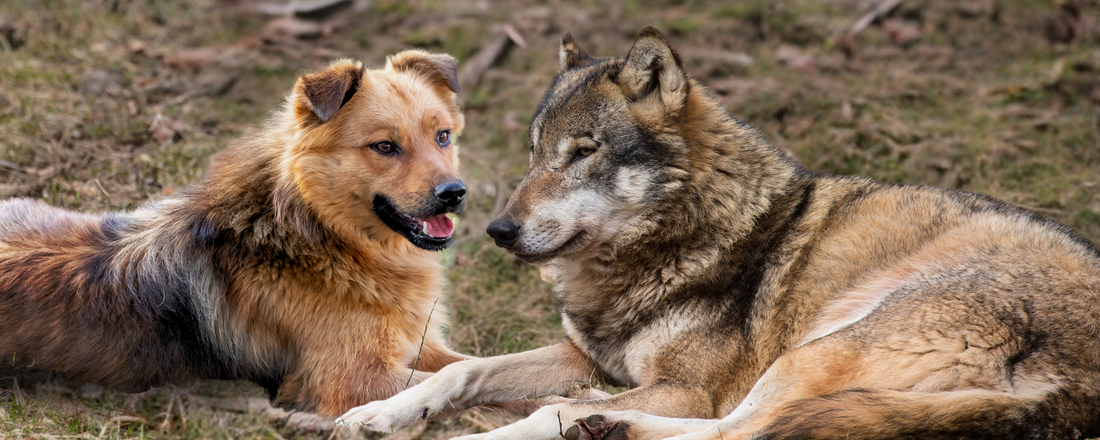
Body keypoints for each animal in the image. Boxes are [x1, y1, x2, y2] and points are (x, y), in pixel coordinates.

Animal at [0, 51, 473, 415]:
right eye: (385, 147)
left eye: (443, 136)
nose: (455, 193)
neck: (318, 237)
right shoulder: (350, 382)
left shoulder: (419, 345)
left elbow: (472, 363)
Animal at [334, 29, 1100, 437]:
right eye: (533, 152)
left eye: (583, 152)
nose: (495, 229)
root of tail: (1076, 389)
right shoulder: (586, 356)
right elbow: (464, 368)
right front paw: (381, 411)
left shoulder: (687, 388)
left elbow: (532, 418)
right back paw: (602, 417)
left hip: (816, 350)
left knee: (742, 428)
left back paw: (604, 422)